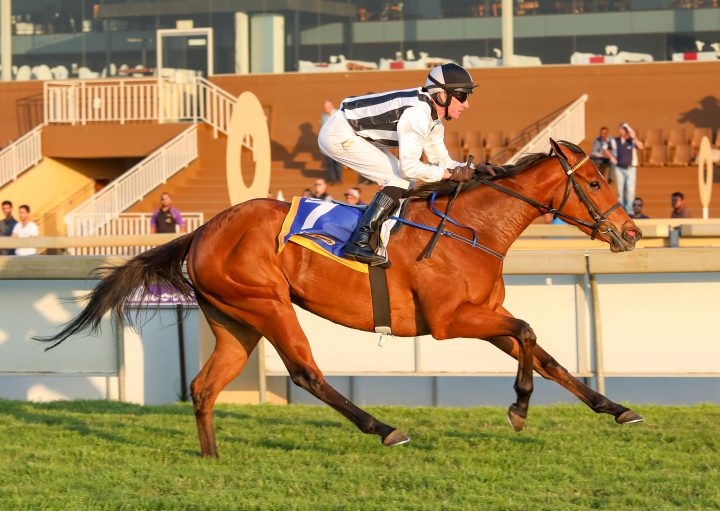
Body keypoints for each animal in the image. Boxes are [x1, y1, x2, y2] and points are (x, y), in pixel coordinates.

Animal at [42, 140, 644, 460]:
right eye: (594, 181)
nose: (632, 232)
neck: (472, 229)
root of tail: (203, 230)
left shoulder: (484, 315)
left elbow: (544, 354)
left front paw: (617, 408)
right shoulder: (452, 319)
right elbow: (527, 333)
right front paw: (518, 408)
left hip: (236, 321)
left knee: (204, 386)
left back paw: (211, 459)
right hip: (269, 306)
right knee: (306, 373)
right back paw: (384, 428)